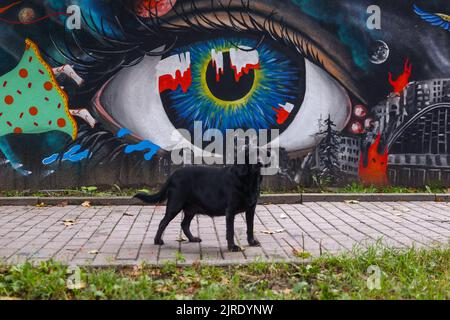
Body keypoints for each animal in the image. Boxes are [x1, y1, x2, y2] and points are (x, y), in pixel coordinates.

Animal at [132, 161, 262, 251]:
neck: (249, 180)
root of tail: (173, 174)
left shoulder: (251, 209)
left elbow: (250, 227)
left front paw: (252, 242)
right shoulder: (230, 211)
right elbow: (230, 231)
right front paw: (232, 247)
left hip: (191, 209)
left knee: (184, 224)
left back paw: (192, 238)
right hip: (175, 205)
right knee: (163, 222)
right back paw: (157, 240)